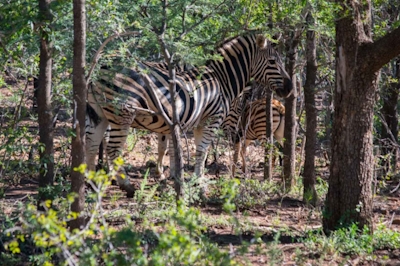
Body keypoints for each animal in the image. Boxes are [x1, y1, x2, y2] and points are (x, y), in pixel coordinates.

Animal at [86, 33, 292, 196]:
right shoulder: (211, 119)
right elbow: (201, 151)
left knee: (92, 145)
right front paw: (199, 184)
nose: (290, 89)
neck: (221, 80)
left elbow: (184, 150)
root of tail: (102, 64)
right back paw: (126, 185)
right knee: (113, 149)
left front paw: (182, 179)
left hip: (98, 112)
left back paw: (91, 182)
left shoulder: (190, 123)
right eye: (273, 62)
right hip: (122, 112)